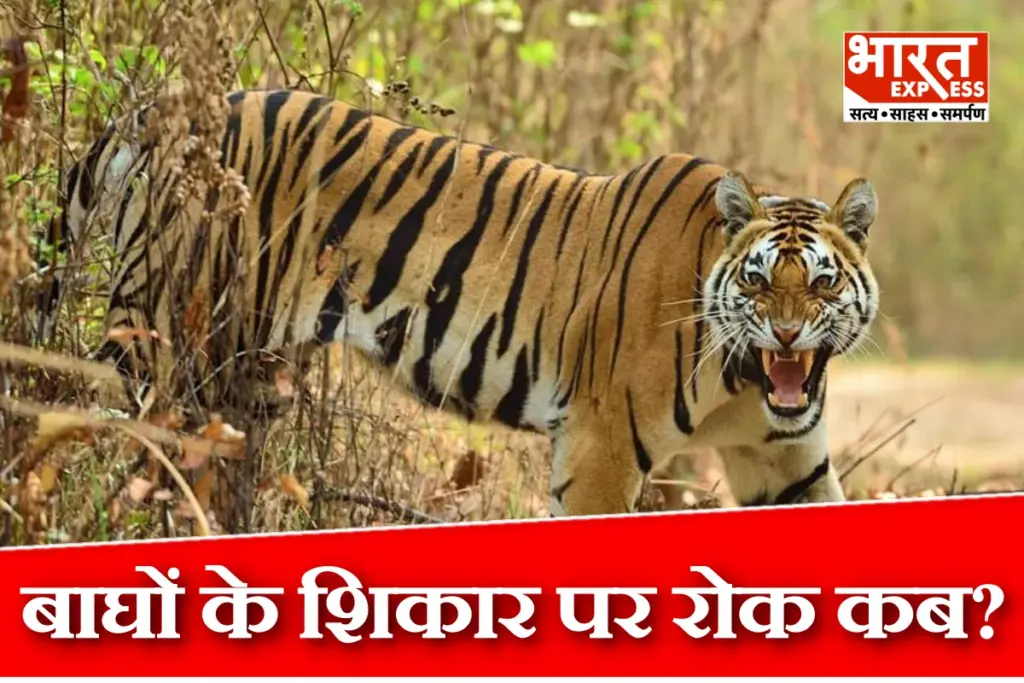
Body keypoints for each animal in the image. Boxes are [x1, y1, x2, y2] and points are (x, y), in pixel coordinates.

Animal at [39, 87, 880, 517]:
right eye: (758, 280)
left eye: (823, 282)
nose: (787, 334)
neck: (741, 375)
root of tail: (159, 106)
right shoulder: (601, 445)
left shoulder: (788, 463)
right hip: (159, 330)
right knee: (77, 413)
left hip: (240, 374)